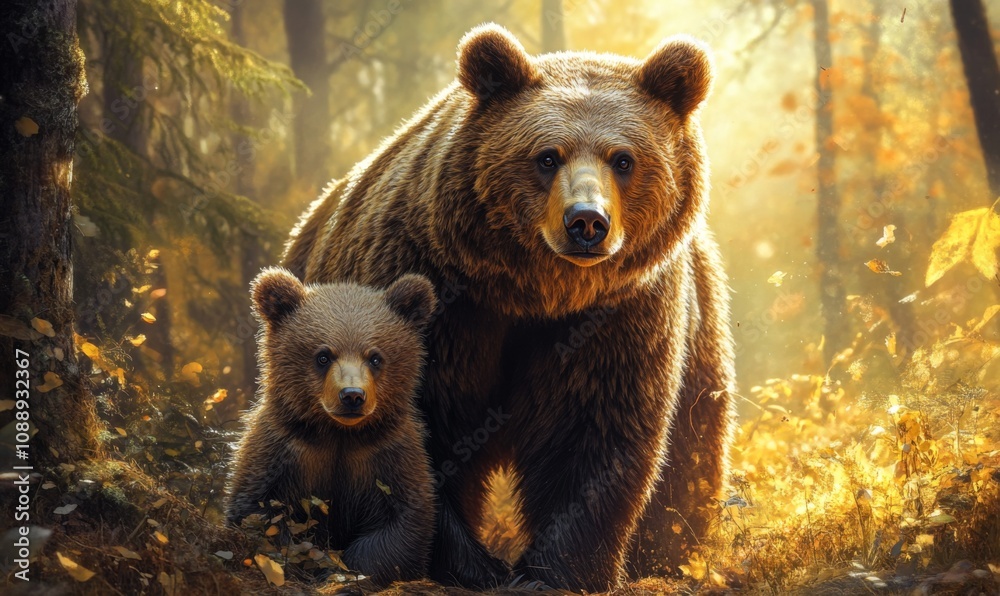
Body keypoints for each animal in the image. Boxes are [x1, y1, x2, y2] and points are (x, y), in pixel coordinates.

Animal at [225, 268, 438, 584]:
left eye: (375, 357)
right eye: (323, 356)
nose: (352, 396)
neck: (338, 434)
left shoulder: (388, 455)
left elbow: (402, 521)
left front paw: (352, 570)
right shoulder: (282, 450)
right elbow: (259, 512)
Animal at [283, 24, 735, 591]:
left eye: (624, 159)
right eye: (547, 156)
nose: (586, 221)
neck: (533, 292)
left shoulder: (619, 314)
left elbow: (592, 433)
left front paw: (558, 571)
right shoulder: (436, 295)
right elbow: (420, 426)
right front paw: (473, 565)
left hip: (703, 346)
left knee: (691, 457)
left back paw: (671, 555)